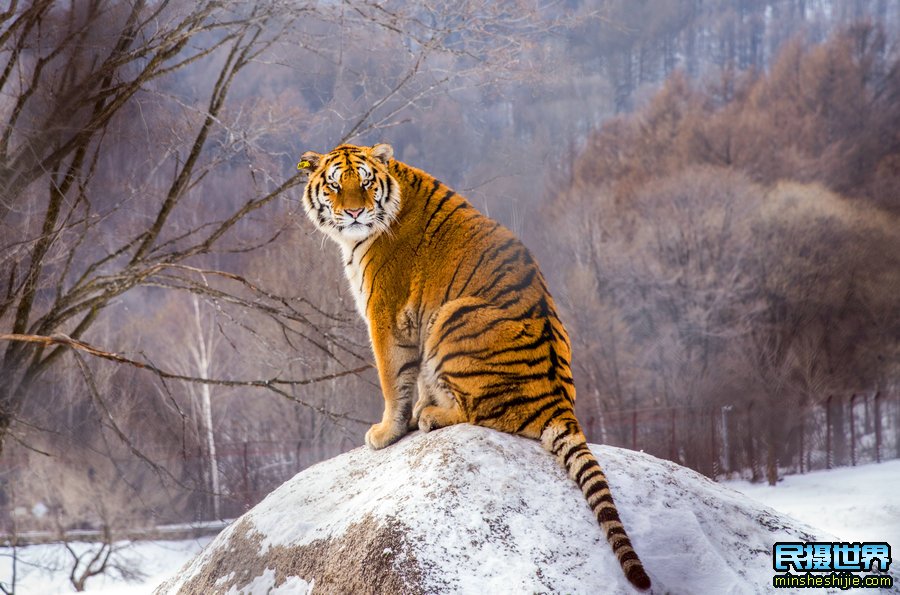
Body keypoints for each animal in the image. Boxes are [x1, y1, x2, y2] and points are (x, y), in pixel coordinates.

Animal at [298, 141, 652, 592]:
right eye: (333, 185)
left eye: (364, 183)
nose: (356, 213)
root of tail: (560, 405)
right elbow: (412, 378)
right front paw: (409, 415)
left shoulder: (385, 314)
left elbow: (393, 379)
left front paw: (386, 432)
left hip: (453, 314)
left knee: (479, 412)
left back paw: (431, 417)